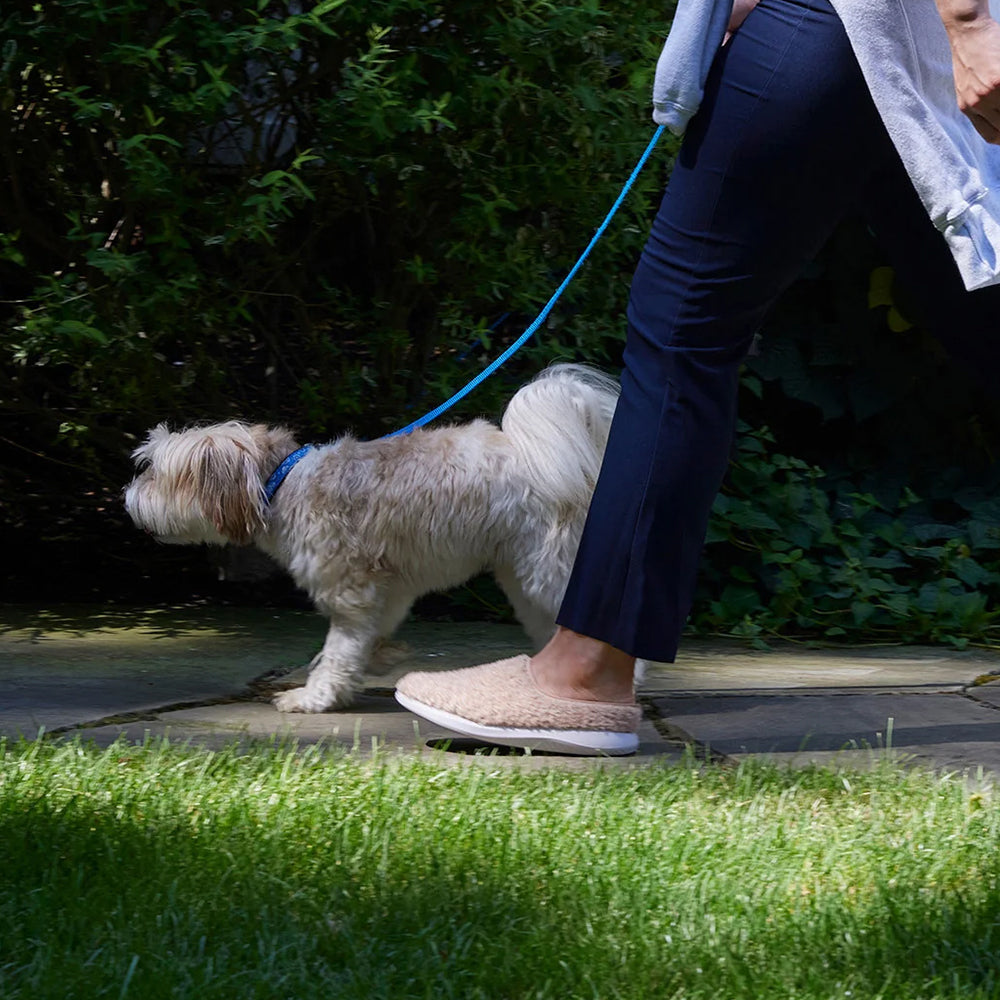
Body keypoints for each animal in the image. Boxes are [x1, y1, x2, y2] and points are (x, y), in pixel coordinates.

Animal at [126, 364, 624, 716]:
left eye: (155, 473)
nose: (127, 498)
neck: (282, 483)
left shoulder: (350, 591)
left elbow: (339, 650)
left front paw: (315, 697)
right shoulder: (388, 590)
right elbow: (368, 637)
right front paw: (377, 661)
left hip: (549, 571)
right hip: (523, 576)